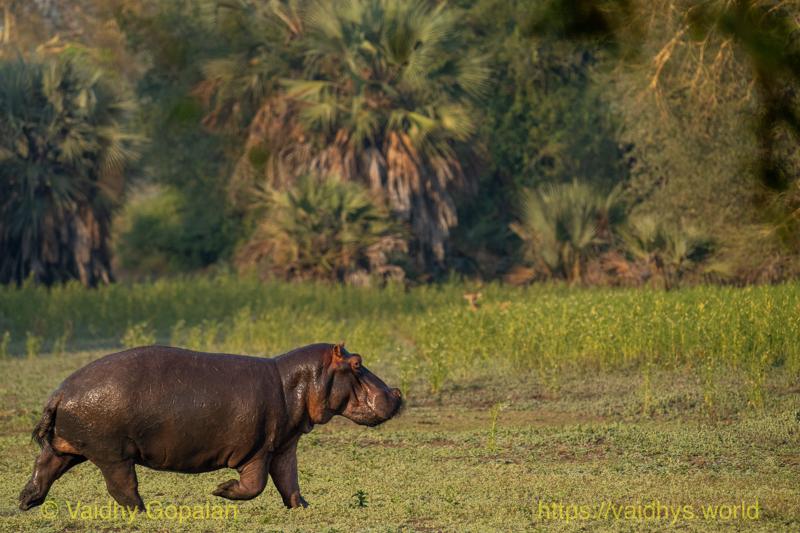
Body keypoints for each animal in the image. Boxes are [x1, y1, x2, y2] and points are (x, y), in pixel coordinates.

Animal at [19, 342, 402, 511]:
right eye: (357, 363)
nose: (397, 393)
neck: (297, 382)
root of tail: (60, 393)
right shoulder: (258, 450)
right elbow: (256, 485)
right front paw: (220, 491)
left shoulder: (284, 445)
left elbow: (289, 481)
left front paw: (303, 508)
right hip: (113, 454)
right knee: (122, 487)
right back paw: (145, 512)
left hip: (67, 447)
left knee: (44, 467)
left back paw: (27, 502)